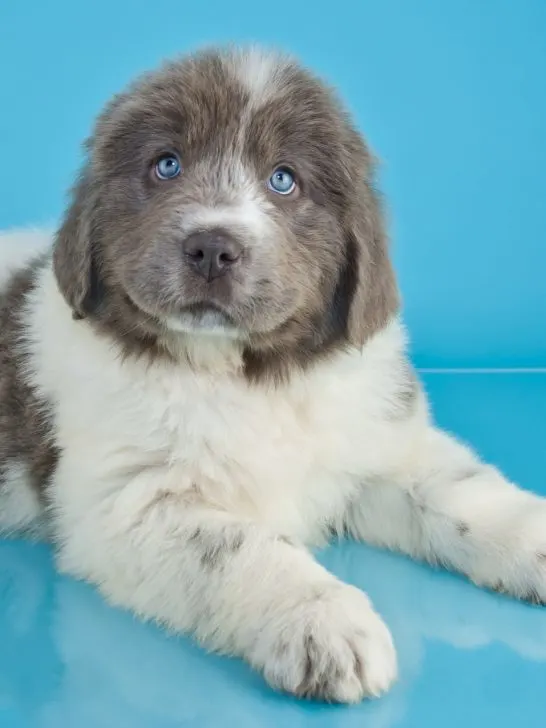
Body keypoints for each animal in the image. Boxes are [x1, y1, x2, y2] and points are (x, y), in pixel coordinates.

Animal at [1, 47, 544, 704]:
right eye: (166, 165)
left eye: (283, 179)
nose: (212, 248)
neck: (247, 374)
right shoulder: (130, 502)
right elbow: (242, 548)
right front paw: (323, 620)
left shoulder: (376, 442)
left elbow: (458, 489)